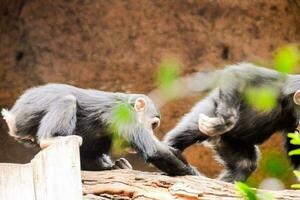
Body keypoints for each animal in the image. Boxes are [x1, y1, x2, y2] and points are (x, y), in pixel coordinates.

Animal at [2, 83, 200, 175]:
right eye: (153, 125)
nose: (152, 132)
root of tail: (12, 116)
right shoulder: (125, 117)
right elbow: (154, 151)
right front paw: (192, 173)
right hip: (29, 113)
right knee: (67, 100)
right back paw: (49, 139)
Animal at [164, 63, 300, 182]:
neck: (288, 105)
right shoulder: (271, 82)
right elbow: (239, 75)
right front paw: (225, 121)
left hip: (230, 143)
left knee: (244, 164)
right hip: (210, 109)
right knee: (189, 132)